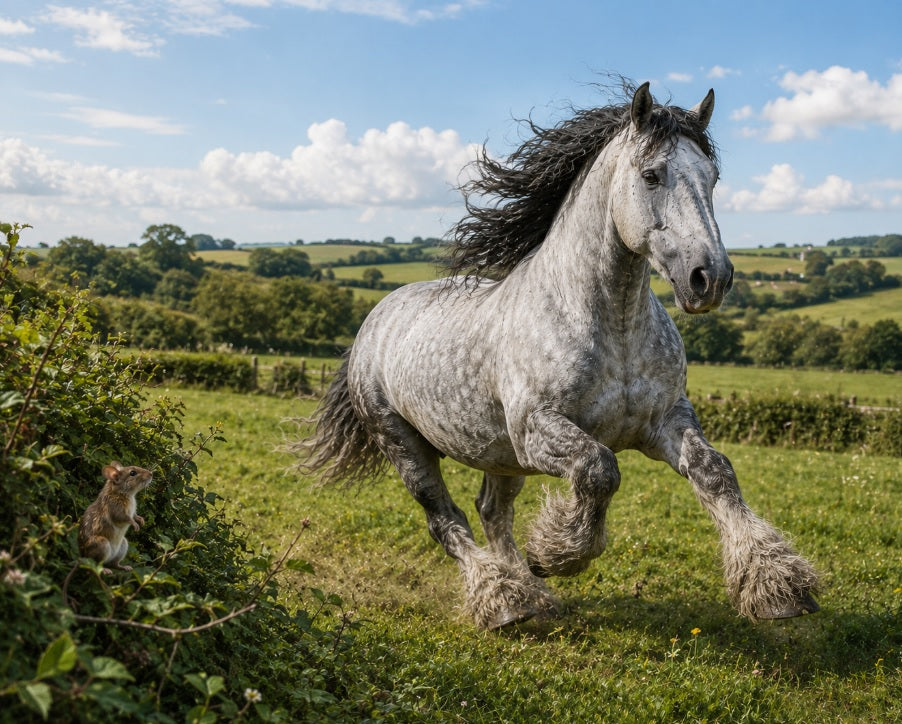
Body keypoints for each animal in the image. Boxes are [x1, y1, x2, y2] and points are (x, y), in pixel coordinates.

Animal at [299, 82, 819, 630]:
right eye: (651, 175)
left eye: (713, 178)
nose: (710, 278)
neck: (612, 325)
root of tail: (375, 319)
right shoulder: (538, 430)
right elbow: (599, 470)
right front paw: (553, 553)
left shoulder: (666, 420)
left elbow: (715, 471)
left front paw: (779, 588)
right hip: (404, 444)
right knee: (446, 520)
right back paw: (504, 601)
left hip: (498, 454)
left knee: (491, 510)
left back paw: (530, 598)